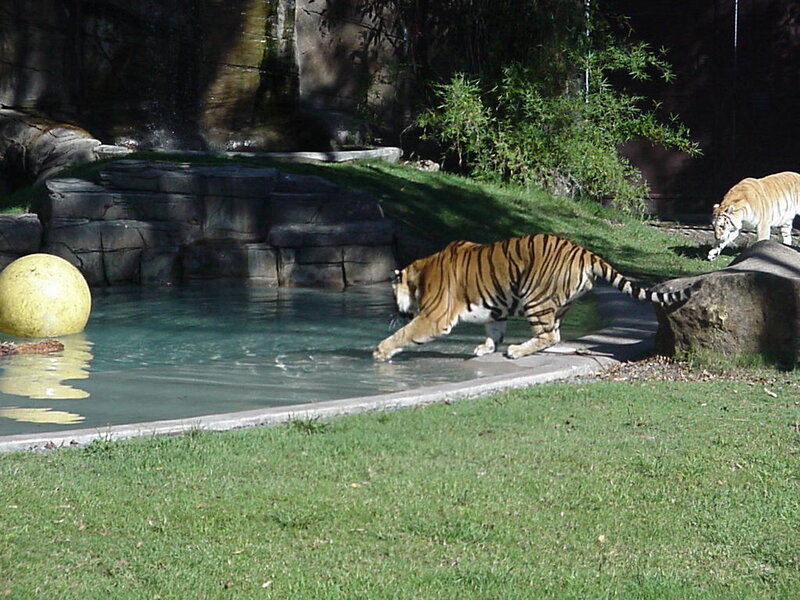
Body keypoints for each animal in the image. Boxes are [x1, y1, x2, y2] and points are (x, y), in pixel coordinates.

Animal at [373, 234, 693, 361]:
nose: (397, 312)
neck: (420, 273)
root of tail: (585, 251)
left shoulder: (434, 317)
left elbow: (405, 334)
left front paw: (380, 351)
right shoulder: (494, 309)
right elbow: (494, 331)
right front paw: (485, 348)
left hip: (534, 298)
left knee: (549, 335)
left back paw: (516, 351)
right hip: (558, 303)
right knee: (554, 334)